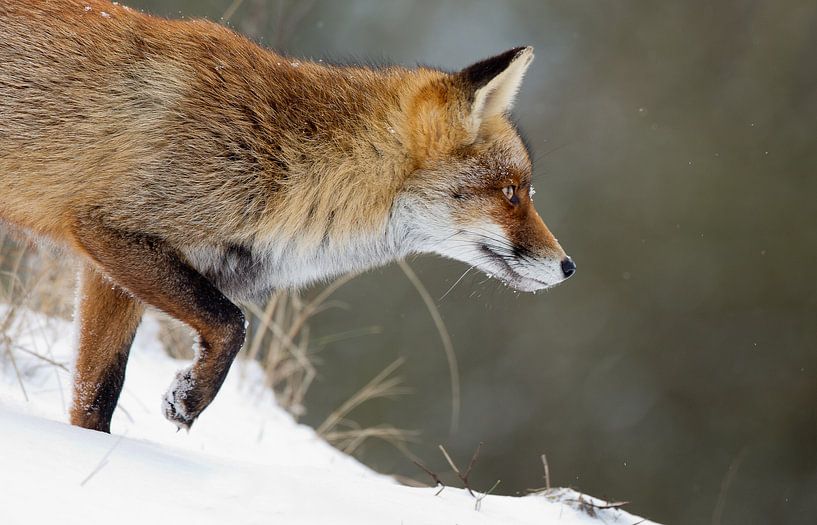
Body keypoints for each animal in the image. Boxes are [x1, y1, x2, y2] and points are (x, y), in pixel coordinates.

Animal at [1, 1, 572, 434]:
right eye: (510, 193)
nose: (568, 267)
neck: (285, 160)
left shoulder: (109, 273)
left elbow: (96, 396)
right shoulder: (111, 230)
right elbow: (233, 322)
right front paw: (191, 397)